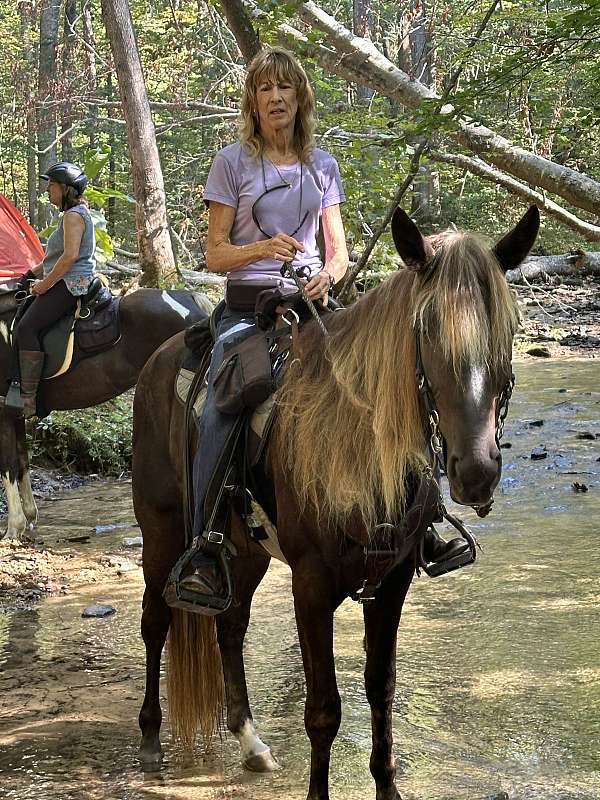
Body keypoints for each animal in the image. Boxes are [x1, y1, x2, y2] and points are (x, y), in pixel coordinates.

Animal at [0, 284, 211, 540]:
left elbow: (8, 466)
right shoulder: (15, 415)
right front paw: (30, 518)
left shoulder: (2, 412)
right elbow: (22, 461)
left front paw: (13, 528)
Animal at [134, 208, 540, 800]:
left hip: (245, 547)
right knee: (156, 621)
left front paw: (389, 787)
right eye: (425, 329)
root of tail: (159, 359)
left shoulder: (392, 581)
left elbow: (381, 691)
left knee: (230, 625)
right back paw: (149, 740)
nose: (476, 471)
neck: (355, 448)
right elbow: (324, 709)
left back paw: (251, 743)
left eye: (505, 330)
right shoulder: (311, 584)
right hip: (161, 530)